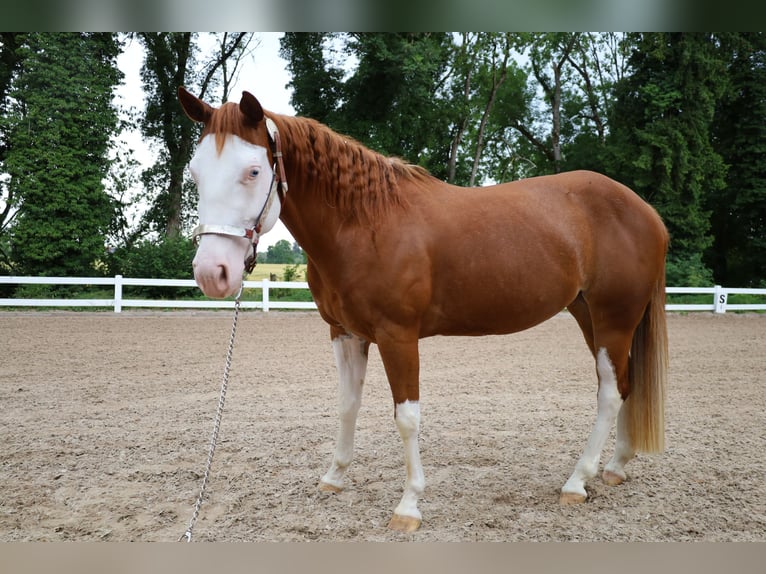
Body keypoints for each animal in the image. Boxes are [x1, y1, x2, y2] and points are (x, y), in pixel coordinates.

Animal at [178, 86, 669, 533]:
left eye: (253, 170)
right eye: (196, 173)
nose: (211, 273)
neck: (364, 223)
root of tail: (646, 212)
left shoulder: (398, 336)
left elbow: (407, 417)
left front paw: (409, 506)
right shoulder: (344, 332)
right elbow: (347, 404)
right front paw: (335, 476)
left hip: (613, 318)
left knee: (610, 392)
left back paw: (577, 482)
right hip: (588, 315)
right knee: (625, 384)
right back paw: (615, 468)